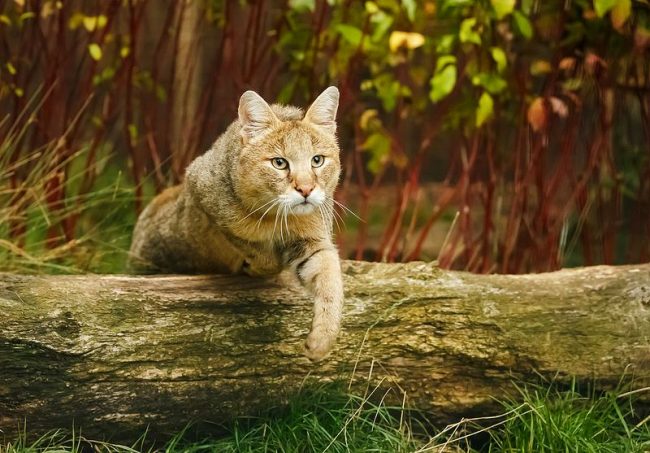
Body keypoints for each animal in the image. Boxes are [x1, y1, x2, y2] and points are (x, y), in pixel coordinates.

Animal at [129, 85, 346, 360]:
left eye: (317, 160)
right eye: (279, 163)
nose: (306, 190)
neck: (278, 216)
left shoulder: (314, 241)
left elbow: (330, 279)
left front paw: (323, 338)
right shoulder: (205, 199)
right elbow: (253, 247)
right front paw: (256, 264)